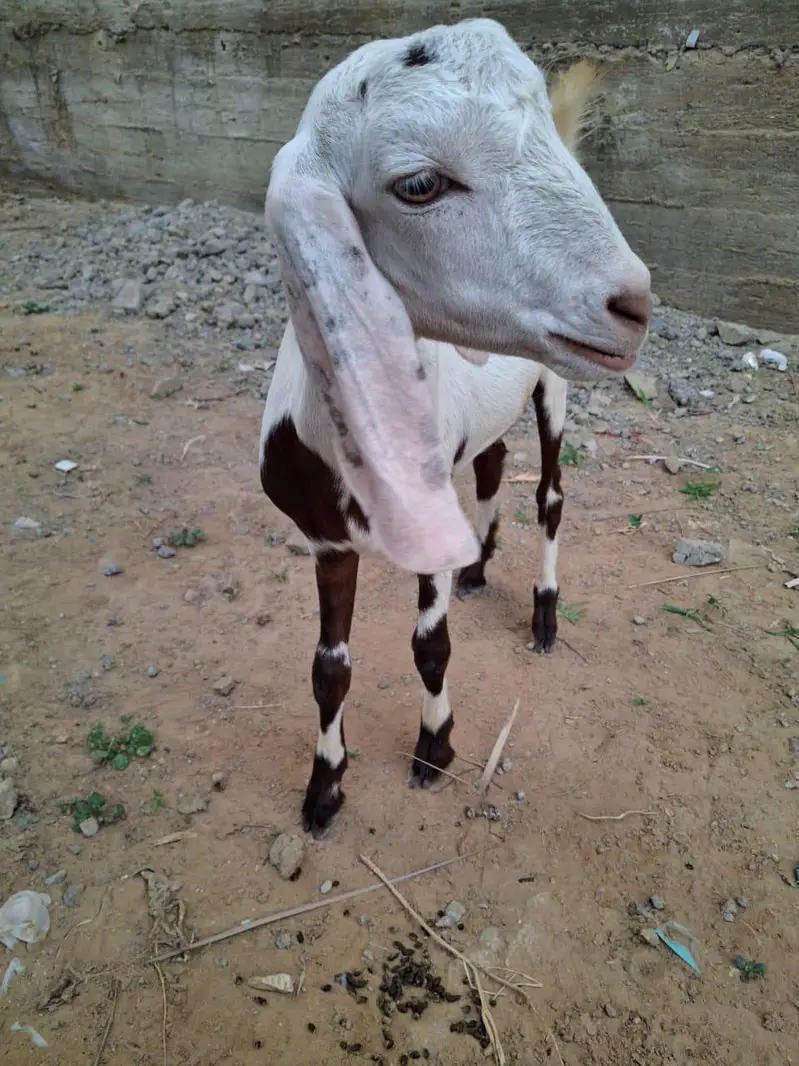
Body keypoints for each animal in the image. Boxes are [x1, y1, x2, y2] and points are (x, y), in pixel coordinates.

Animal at [260, 19, 652, 836]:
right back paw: (477, 569)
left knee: (550, 496)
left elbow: (430, 647)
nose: (632, 303)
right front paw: (323, 792)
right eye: (419, 184)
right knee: (493, 462)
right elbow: (327, 669)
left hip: (555, 385)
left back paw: (542, 618)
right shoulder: (325, 540)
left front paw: (434, 747)